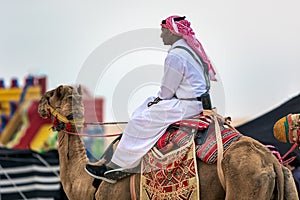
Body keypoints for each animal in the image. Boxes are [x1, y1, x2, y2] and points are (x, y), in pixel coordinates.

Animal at [38, 85, 298, 200]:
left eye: (50, 94)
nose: (39, 104)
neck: (90, 186)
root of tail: (272, 162)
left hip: (245, 185)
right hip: (287, 185)